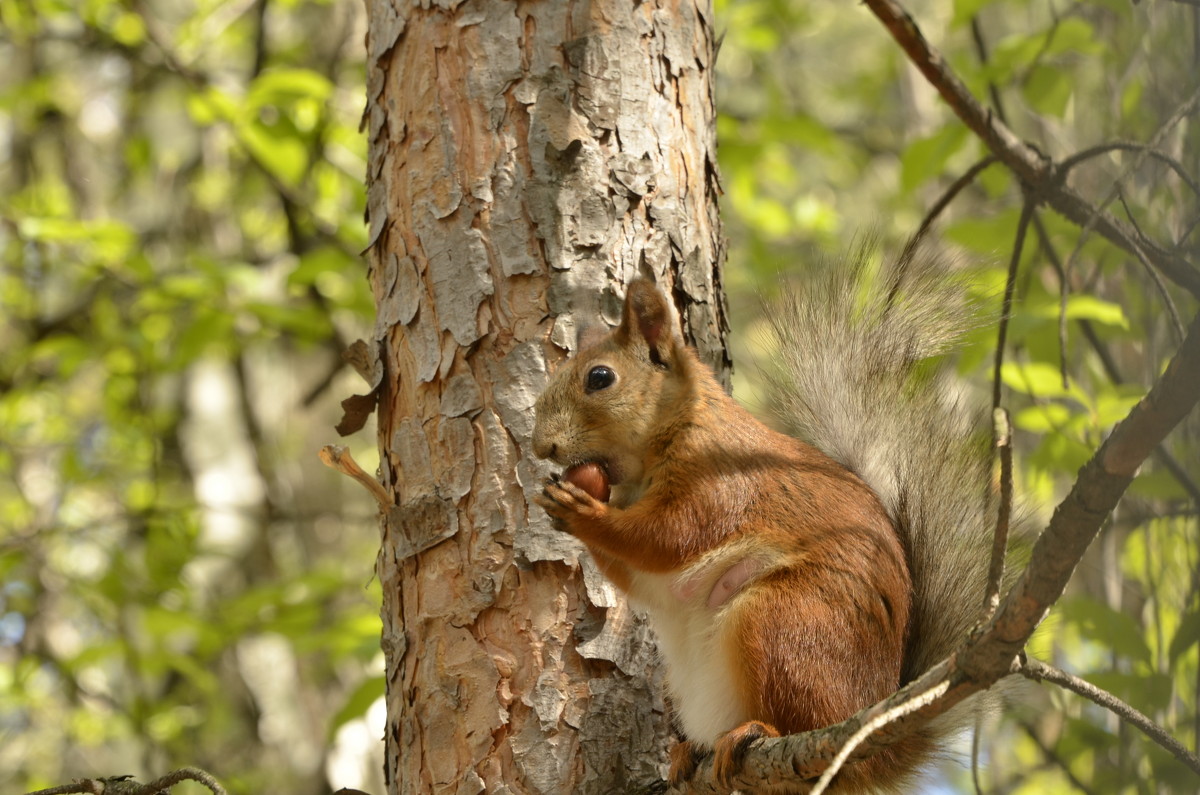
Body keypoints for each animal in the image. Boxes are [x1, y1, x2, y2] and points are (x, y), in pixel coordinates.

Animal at [535, 247, 1003, 792]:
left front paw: (584, 513)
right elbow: (638, 575)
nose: (539, 445)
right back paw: (689, 752)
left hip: (785, 621)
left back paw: (757, 732)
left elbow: (667, 537)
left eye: (600, 378)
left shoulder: (721, 483)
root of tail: (869, 750)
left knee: (796, 719)